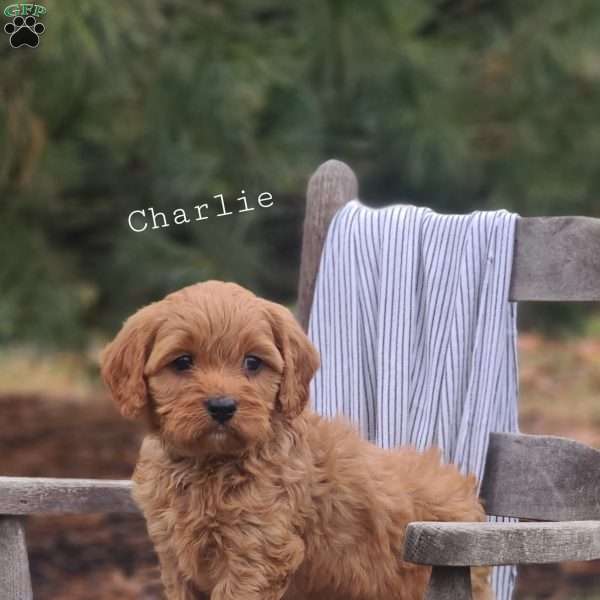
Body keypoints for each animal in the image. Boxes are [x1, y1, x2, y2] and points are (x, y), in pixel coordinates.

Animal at [101, 282, 490, 600]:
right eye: (182, 362)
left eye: (252, 362)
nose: (223, 406)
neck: (210, 464)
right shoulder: (176, 560)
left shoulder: (255, 555)